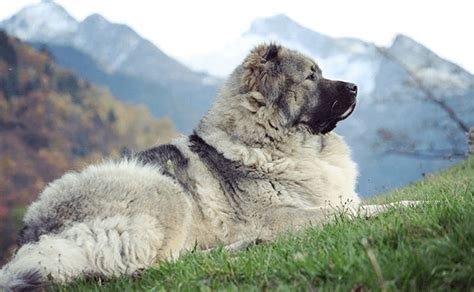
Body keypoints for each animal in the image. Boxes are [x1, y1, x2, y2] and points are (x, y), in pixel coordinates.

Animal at [0, 42, 412, 290]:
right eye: (311, 76)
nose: (355, 87)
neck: (266, 140)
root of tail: (34, 232)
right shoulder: (285, 216)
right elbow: (348, 215)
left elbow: (371, 206)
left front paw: (411, 204)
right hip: (163, 189)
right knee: (158, 266)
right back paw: (244, 245)